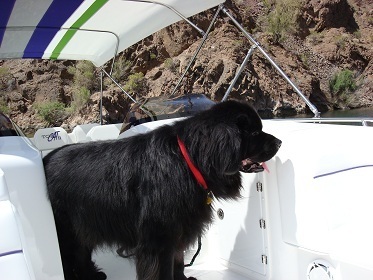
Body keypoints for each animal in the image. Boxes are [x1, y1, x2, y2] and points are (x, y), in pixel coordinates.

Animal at [43, 100, 280, 280]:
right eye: (255, 132)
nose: (279, 142)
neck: (188, 161)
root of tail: (45, 159)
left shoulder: (180, 230)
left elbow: (178, 262)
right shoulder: (159, 238)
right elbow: (164, 270)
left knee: (81, 254)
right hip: (66, 230)